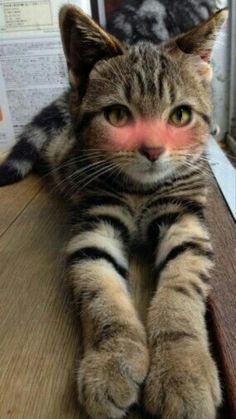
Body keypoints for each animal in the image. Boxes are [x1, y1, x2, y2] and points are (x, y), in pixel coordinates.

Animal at [0, 3, 229, 419]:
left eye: (180, 116)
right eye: (118, 116)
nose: (153, 149)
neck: (140, 190)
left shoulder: (186, 221)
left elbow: (181, 289)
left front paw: (181, 367)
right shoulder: (95, 222)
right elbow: (98, 290)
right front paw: (112, 358)